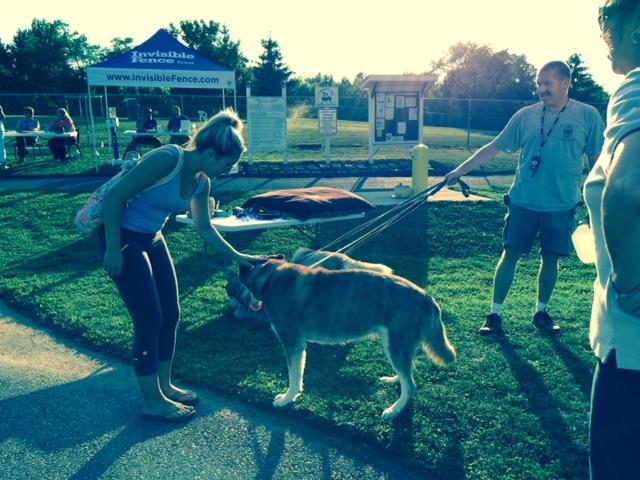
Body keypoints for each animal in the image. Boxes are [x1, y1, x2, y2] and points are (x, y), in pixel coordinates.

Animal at [239, 258, 456, 419]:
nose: (241, 267)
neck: (271, 278)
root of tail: (426, 296)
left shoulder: (293, 345)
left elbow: (294, 379)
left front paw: (286, 400)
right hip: (396, 347)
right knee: (408, 372)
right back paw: (394, 379)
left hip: (394, 345)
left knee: (410, 386)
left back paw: (394, 410)